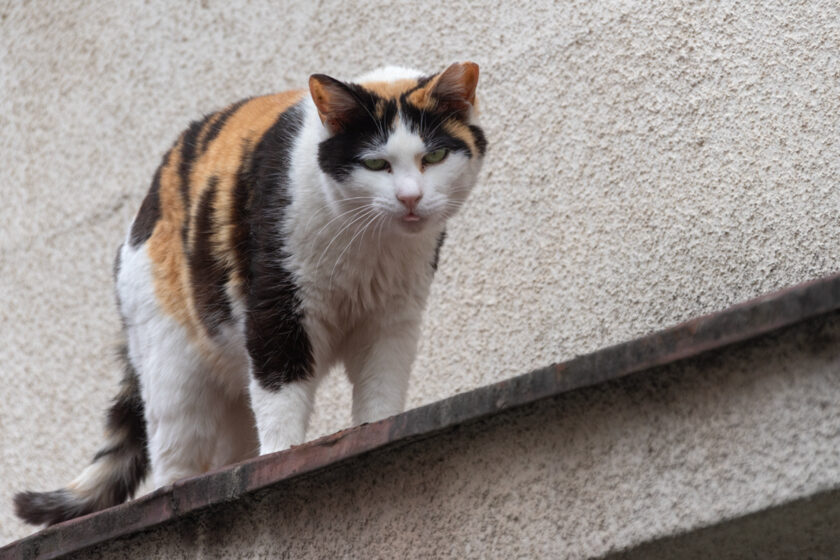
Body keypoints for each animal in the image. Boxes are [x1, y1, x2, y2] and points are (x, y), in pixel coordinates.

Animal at [13, 63, 486, 528]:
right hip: (173, 366)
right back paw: (176, 489)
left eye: (434, 157)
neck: (371, 246)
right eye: (376, 163)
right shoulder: (276, 306)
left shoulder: (392, 319)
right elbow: (281, 395)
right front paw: (280, 459)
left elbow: (381, 392)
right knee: (173, 451)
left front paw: (374, 427)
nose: (410, 198)